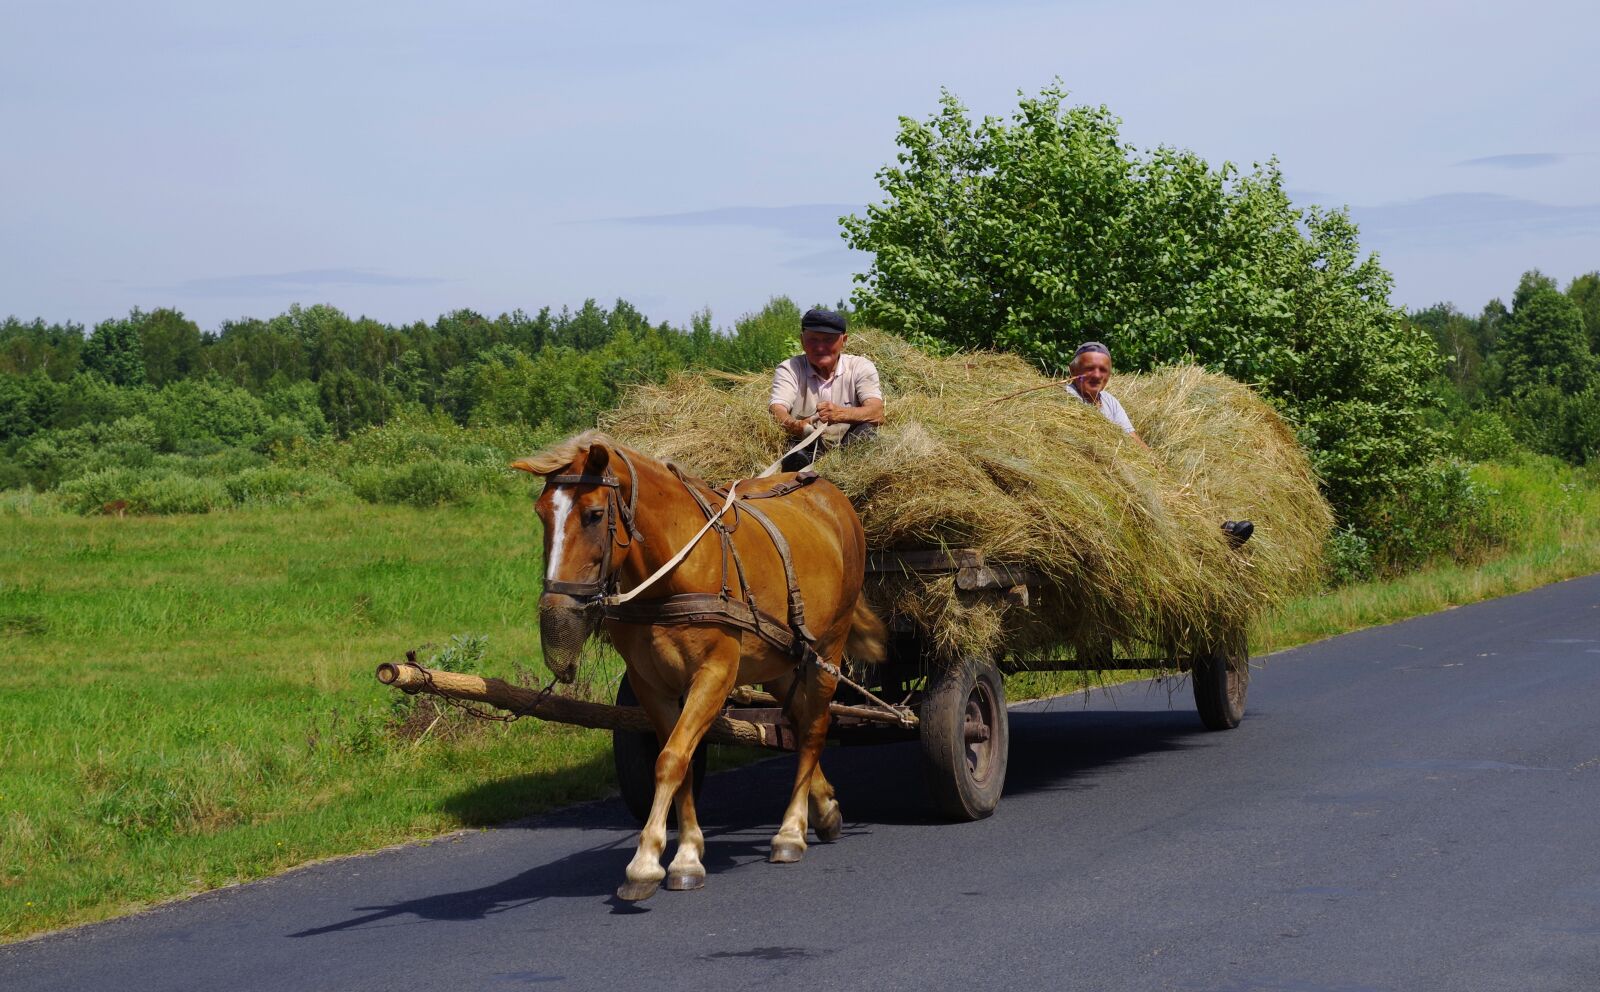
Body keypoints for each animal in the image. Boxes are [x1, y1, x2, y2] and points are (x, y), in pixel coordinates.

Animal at [512, 428, 889, 902]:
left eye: (594, 514)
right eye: (541, 514)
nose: (557, 610)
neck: (671, 574)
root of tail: (829, 492)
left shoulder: (713, 675)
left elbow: (672, 758)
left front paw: (647, 862)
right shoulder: (650, 685)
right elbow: (682, 761)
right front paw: (686, 853)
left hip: (828, 648)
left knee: (816, 728)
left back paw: (791, 830)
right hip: (780, 660)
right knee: (801, 720)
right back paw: (824, 809)